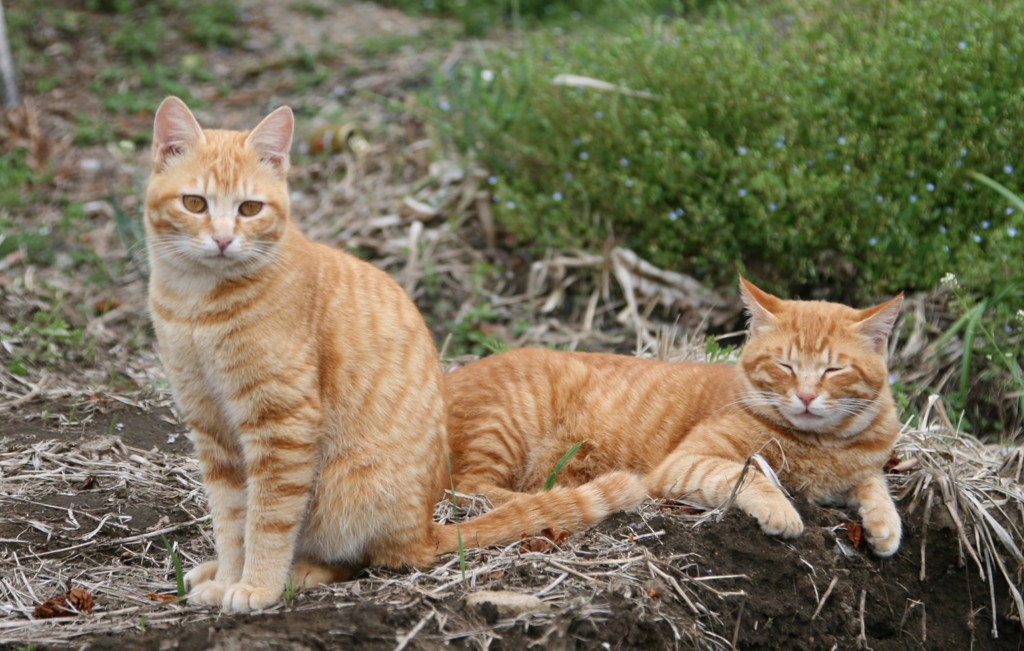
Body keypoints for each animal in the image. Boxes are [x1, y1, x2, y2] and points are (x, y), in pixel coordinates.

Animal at [144, 95, 643, 610]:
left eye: (249, 208)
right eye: (195, 203)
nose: (224, 240)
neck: (198, 308)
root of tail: (425, 528)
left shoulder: (282, 425)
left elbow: (267, 519)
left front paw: (256, 585)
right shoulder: (212, 429)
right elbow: (231, 520)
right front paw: (227, 577)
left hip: (347, 489)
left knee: (361, 559)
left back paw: (297, 574)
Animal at [448, 276, 905, 556]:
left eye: (834, 370)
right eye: (785, 366)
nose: (807, 396)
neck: (821, 444)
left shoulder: (862, 468)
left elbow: (875, 484)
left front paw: (885, 525)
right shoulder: (683, 464)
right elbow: (748, 476)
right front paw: (782, 510)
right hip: (505, 431)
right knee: (470, 490)